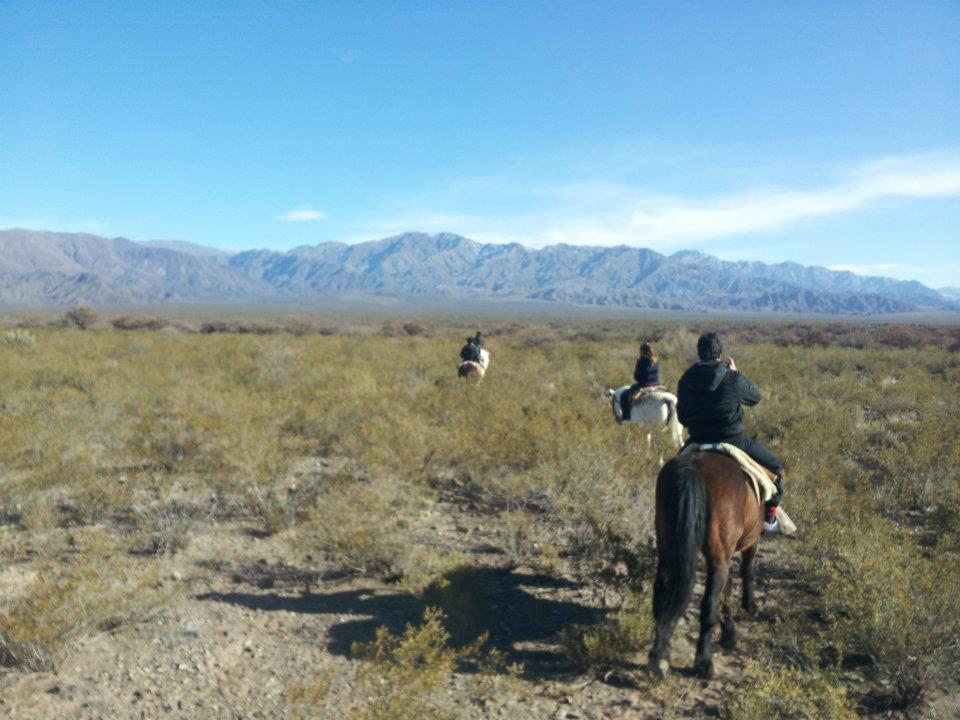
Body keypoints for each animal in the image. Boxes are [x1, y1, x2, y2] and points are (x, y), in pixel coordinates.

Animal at [644, 450, 764, 680]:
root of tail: (693, 466)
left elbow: (728, 589)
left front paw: (729, 634)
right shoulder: (749, 542)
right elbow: (746, 572)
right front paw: (749, 606)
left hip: (668, 544)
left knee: (662, 591)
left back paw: (659, 656)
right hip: (719, 556)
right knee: (709, 605)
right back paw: (704, 663)